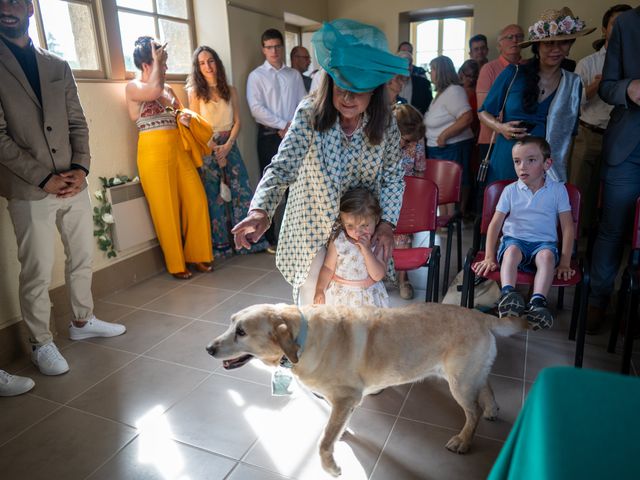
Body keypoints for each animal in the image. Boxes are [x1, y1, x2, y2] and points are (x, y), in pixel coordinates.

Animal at [208, 302, 528, 474]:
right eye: (230, 324)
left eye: (241, 332)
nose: (208, 348)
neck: (302, 338)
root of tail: (478, 314)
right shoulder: (342, 401)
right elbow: (333, 426)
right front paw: (342, 434)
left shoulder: (346, 397)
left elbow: (324, 441)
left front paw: (331, 467)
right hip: (468, 375)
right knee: (486, 386)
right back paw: (492, 408)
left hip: (459, 383)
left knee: (472, 411)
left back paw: (464, 440)